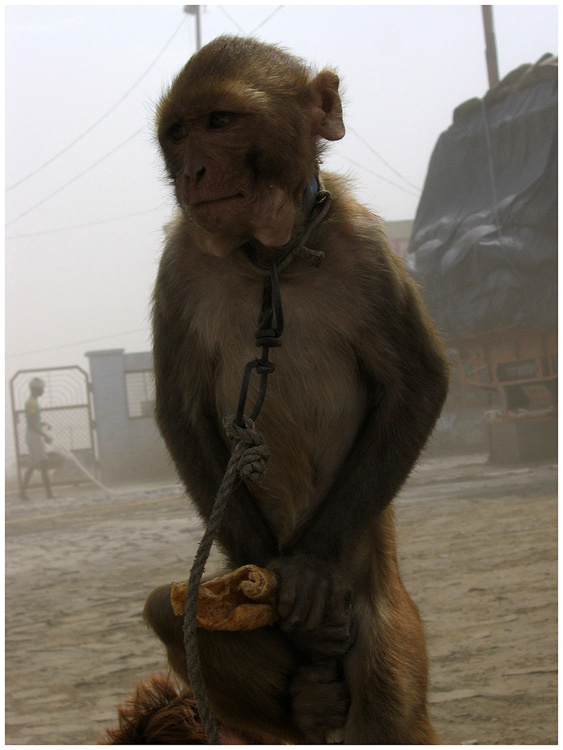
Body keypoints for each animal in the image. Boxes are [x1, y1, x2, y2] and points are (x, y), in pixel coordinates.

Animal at [145, 35, 449, 744]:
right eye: (178, 133)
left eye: (220, 122)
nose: (195, 172)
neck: (272, 257)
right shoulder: (178, 268)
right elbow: (179, 411)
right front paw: (278, 582)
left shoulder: (369, 249)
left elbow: (418, 384)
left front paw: (309, 575)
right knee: (171, 609)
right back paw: (306, 698)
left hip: (385, 631)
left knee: (389, 707)